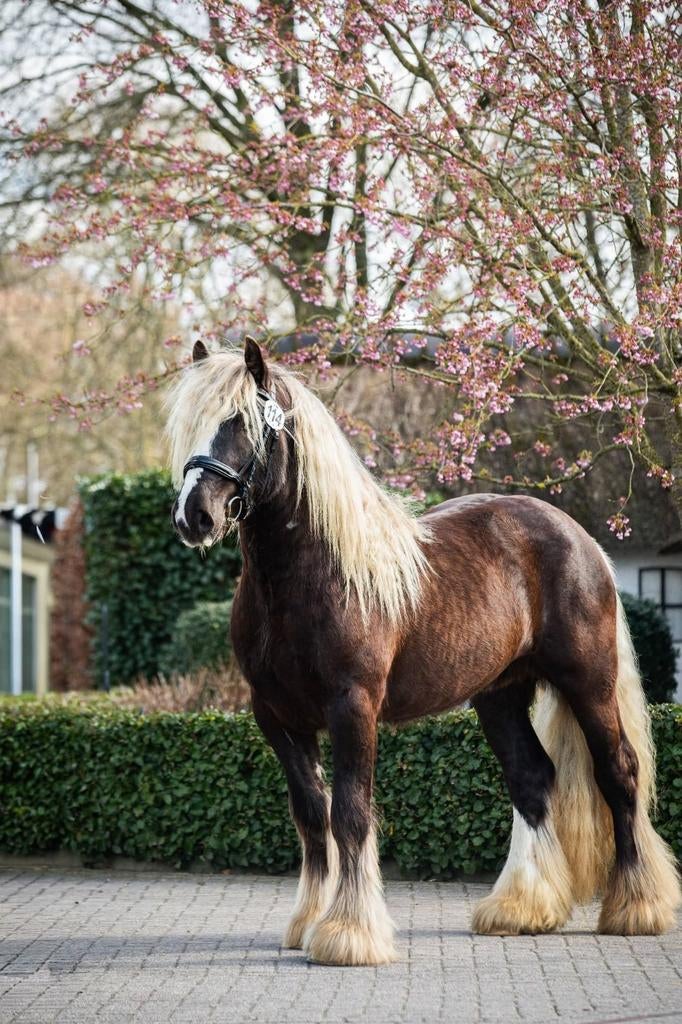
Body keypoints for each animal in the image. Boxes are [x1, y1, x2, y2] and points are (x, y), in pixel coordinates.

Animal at [166, 338, 680, 966]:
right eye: (189, 424)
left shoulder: (352, 707)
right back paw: (521, 908)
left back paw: (637, 907)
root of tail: (579, 537)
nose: (194, 516)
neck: (312, 575)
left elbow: (349, 812)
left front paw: (349, 933)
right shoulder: (277, 717)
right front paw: (309, 920)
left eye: (240, 422)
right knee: (532, 778)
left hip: (589, 681)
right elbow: (311, 813)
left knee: (619, 772)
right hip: (499, 695)